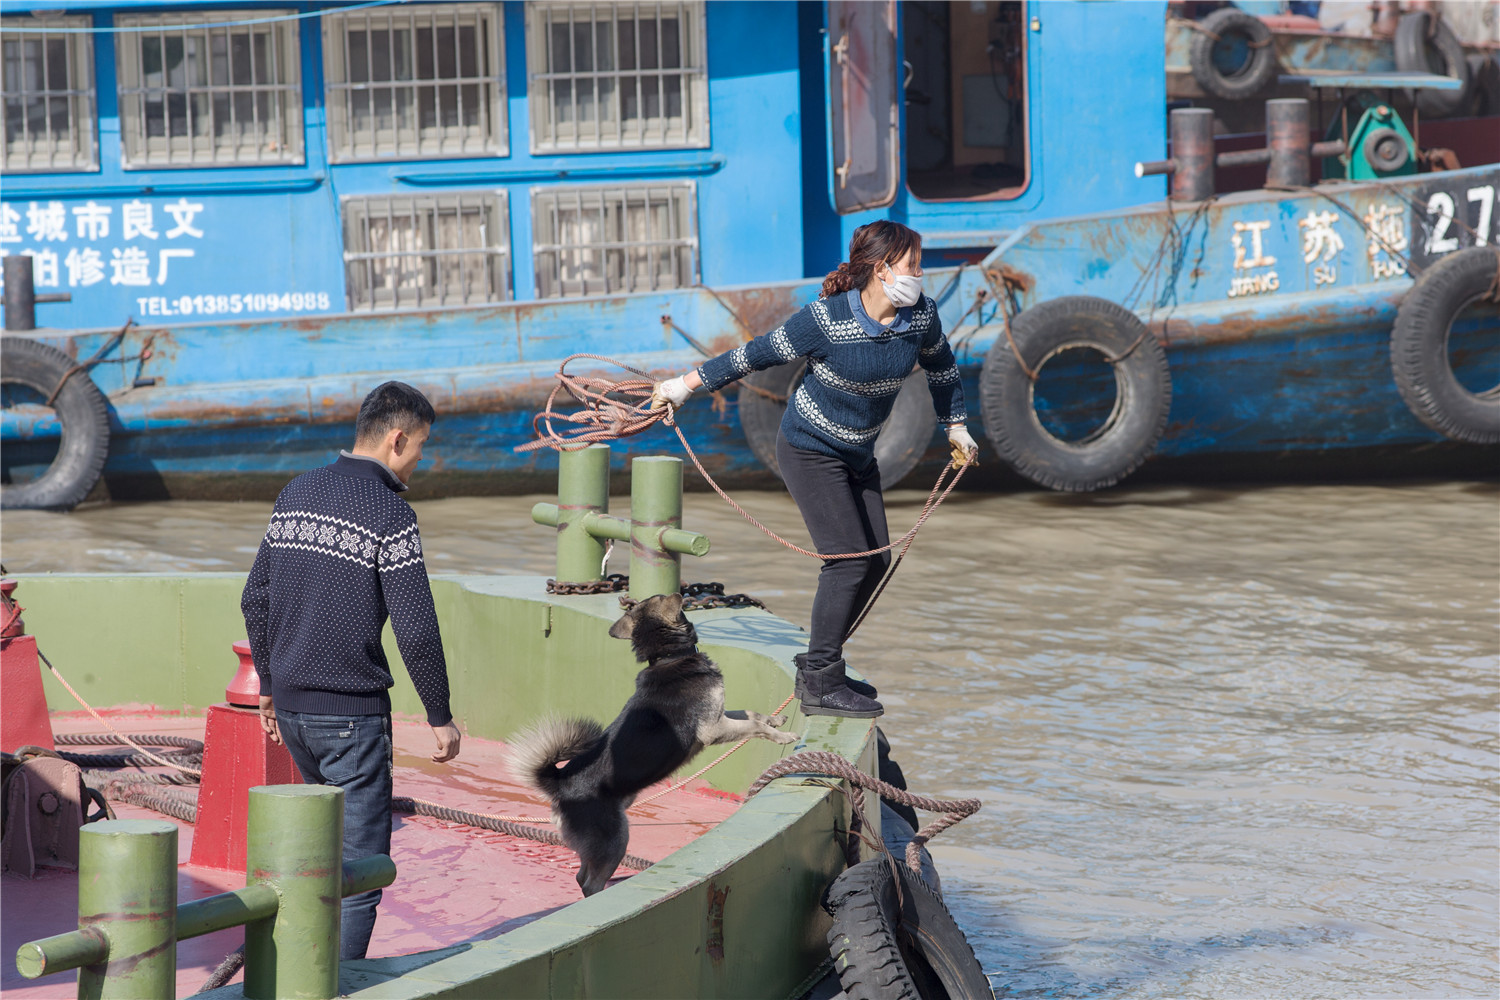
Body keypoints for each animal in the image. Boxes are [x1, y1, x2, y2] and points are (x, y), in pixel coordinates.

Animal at [510, 590, 804, 893]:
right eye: (661, 596)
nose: (680, 592)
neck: (669, 657)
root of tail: (560, 783)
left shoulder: (720, 715)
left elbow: (751, 714)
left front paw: (776, 720)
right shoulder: (713, 728)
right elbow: (754, 725)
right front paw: (785, 736)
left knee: (581, 875)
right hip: (615, 840)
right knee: (591, 884)